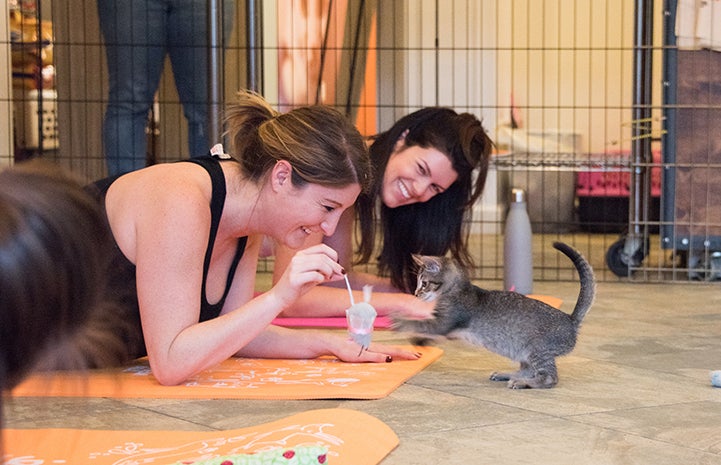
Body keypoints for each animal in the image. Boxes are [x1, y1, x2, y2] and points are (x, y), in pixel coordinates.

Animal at [396, 241, 592, 390]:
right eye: (418, 284)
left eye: (424, 284)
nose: (415, 293)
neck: (456, 290)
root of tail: (571, 320)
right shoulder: (446, 329)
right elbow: (427, 332)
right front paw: (420, 340)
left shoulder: (443, 323)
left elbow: (418, 324)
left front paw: (398, 321)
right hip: (525, 352)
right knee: (528, 369)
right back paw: (508, 374)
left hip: (538, 350)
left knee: (550, 378)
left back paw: (522, 383)